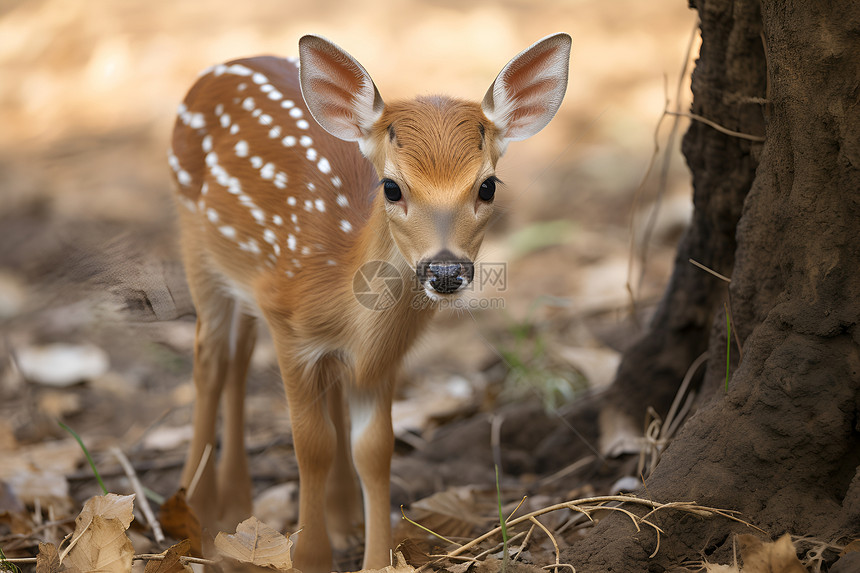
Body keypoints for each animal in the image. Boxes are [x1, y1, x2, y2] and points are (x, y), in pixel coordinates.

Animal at [168, 33, 572, 568]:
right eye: (392, 186)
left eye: (487, 185)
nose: (445, 270)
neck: (337, 280)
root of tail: (224, 64)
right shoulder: (289, 325)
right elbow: (311, 443)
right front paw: (310, 558)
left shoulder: (381, 355)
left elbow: (375, 450)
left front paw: (376, 559)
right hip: (196, 245)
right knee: (211, 359)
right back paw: (193, 513)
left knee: (244, 360)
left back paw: (266, 511)